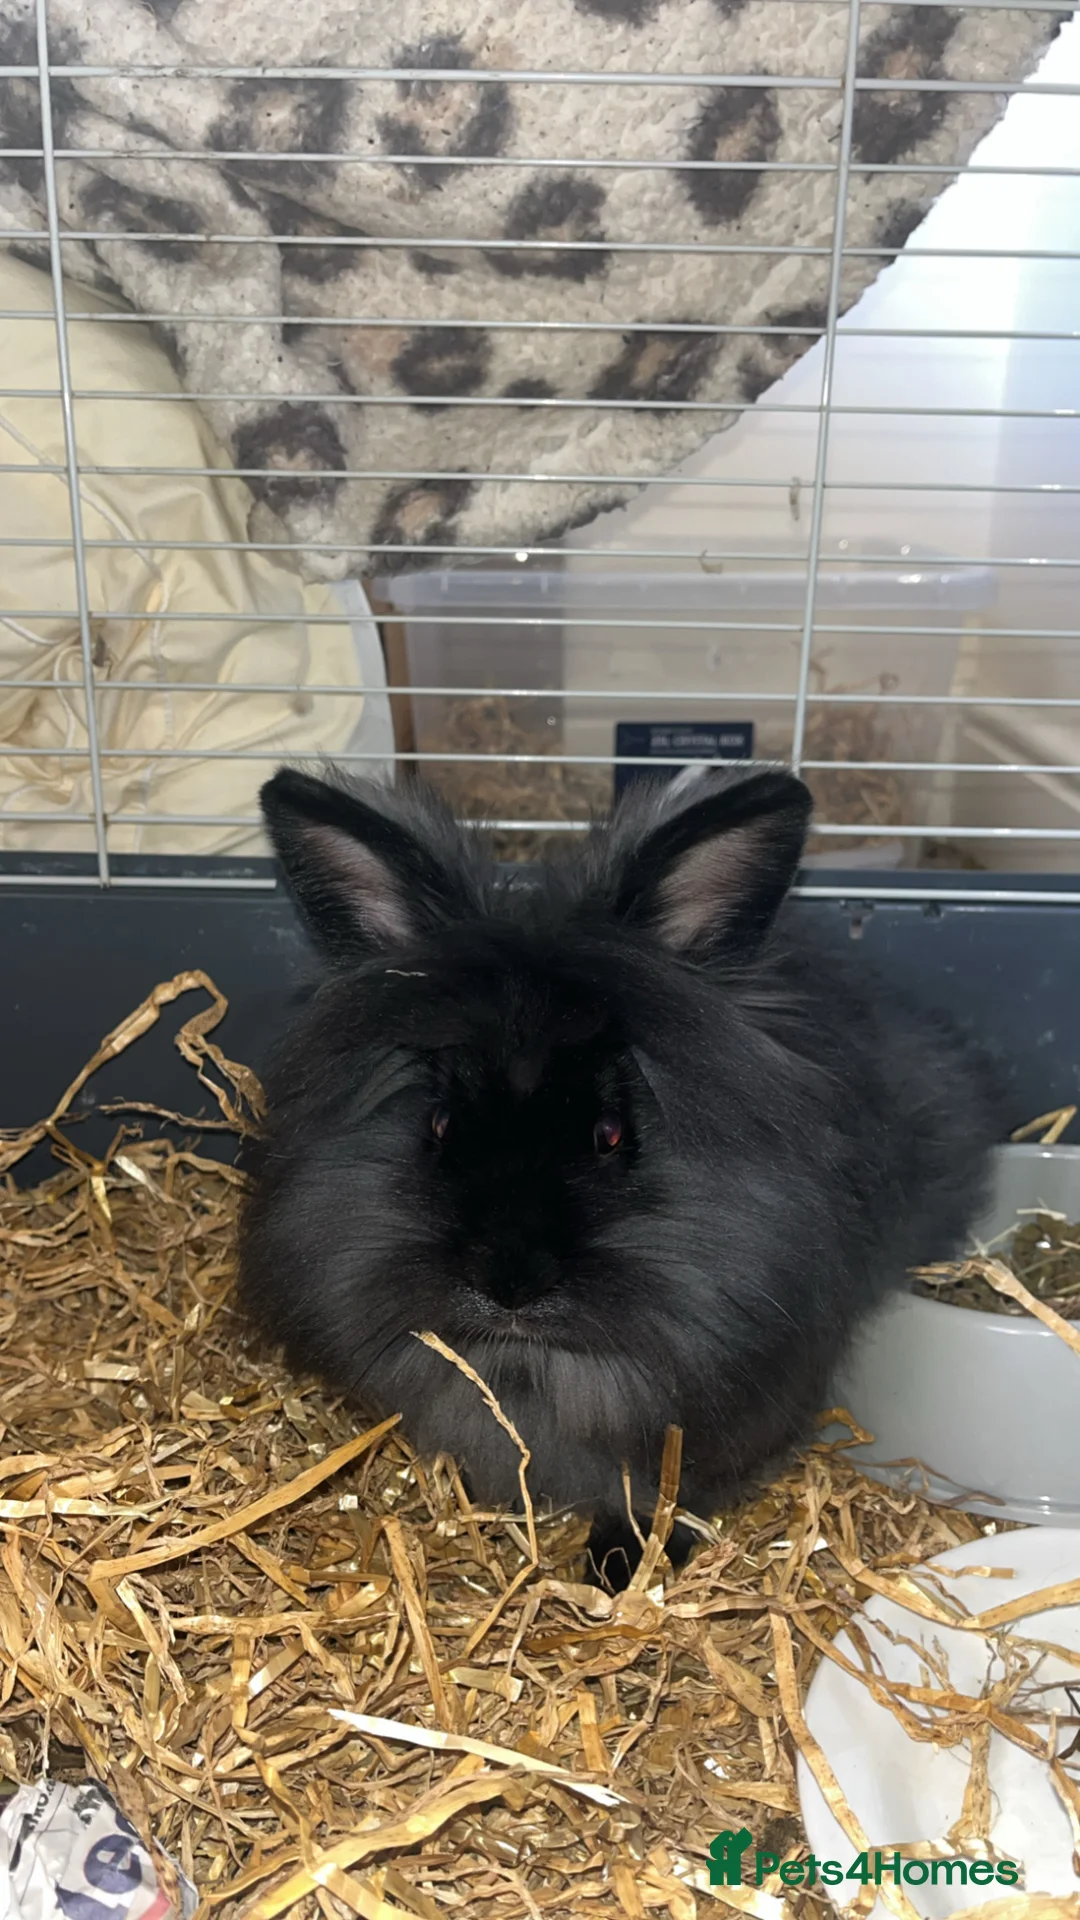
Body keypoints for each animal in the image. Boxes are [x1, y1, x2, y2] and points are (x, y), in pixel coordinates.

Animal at [238, 762, 1003, 1587]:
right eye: (439, 1126)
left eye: (610, 1134)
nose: (509, 1285)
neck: (538, 1367)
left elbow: (665, 1492)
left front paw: (620, 1566)